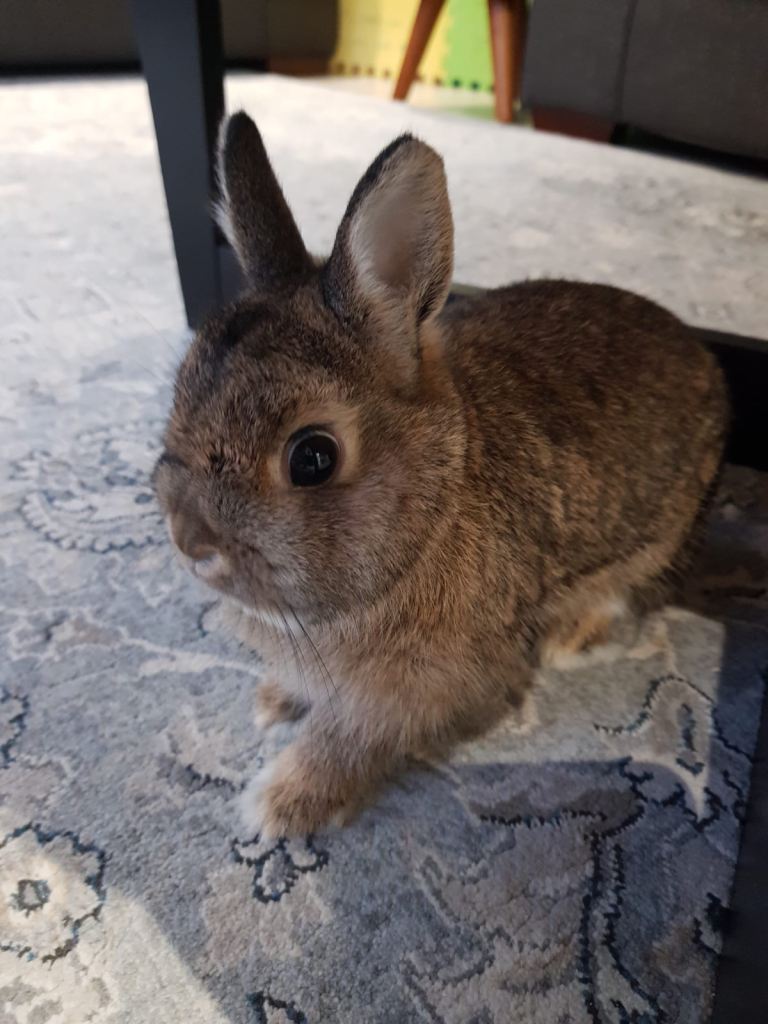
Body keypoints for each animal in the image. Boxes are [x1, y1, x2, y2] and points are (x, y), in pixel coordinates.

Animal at [153, 111, 729, 839]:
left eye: (312, 457)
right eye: (179, 393)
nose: (189, 541)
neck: (434, 508)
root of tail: (708, 363)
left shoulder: (434, 686)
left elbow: (353, 736)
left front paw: (278, 803)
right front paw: (275, 699)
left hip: (654, 539)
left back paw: (567, 636)